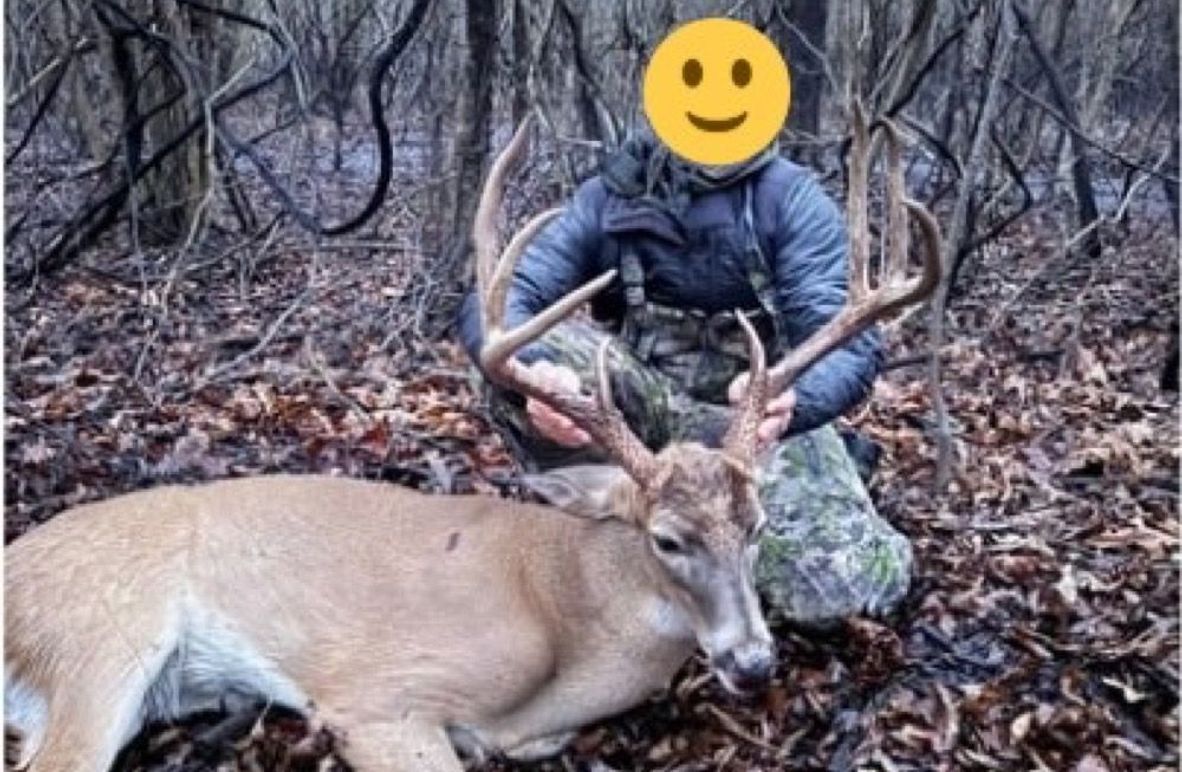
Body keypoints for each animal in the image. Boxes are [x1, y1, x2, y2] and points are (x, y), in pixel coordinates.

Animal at [4, 105, 940, 772]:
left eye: (759, 526)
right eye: (667, 539)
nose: (751, 661)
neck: (567, 609)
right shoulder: (376, 696)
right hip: (99, 643)